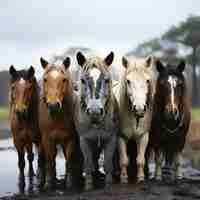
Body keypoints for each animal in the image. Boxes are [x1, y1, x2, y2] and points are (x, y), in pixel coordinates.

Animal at [38, 57, 78, 188]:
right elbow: (50, 160)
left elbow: (69, 160)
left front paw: (70, 183)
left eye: (64, 79)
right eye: (45, 79)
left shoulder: (70, 138)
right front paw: (49, 183)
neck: (57, 117)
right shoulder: (47, 139)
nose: (53, 105)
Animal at [74, 51, 119, 191]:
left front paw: (108, 184)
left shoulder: (111, 139)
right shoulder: (84, 140)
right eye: (83, 80)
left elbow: (108, 164)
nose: (94, 111)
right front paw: (88, 186)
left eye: (107, 80)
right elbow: (88, 164)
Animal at [112, 55, 155, 183]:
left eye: (147, 80)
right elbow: (123, 160)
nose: (139, 108)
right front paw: (123, 178)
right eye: (128, 81)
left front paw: (140, 177)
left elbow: (140, 159)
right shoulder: (120, 137)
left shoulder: (143, 136)